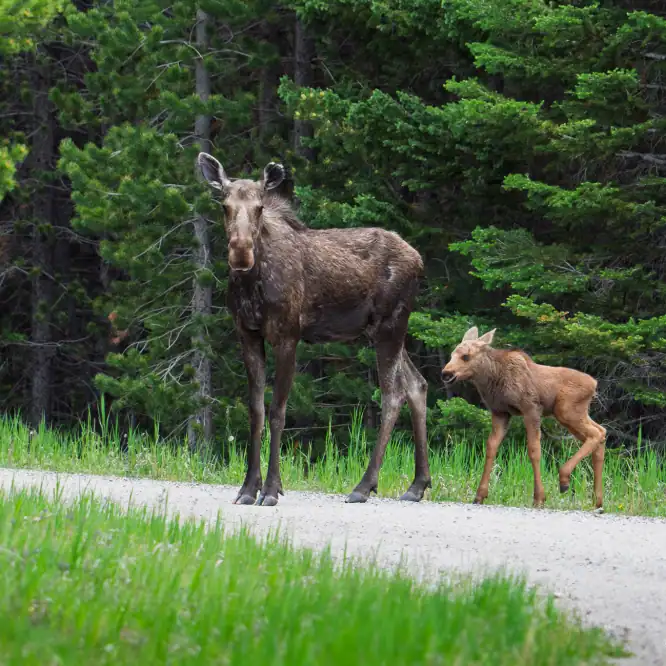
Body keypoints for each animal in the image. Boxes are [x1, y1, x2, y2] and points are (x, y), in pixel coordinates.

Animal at [197, 151, 432, 507]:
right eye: (224, 205)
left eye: (260, 207)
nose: (240, 252)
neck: (252, 284)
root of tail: (420, 261)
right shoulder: (247, 334)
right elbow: (256, 411)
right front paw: (248, 488)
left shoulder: (287, 336)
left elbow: (278, 412)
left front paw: (270, 489)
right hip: (381, 331)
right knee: (417, 384)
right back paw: (417, 485)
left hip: (391, 325)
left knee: (394, 394)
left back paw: (364, 485)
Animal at [441, 326, 606, 509]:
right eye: (452, 354)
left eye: (466, 356)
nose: (446, 373)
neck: (490, 379)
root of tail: (594, 385)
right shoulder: (500, 412)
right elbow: (491, 447)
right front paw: (480, 495)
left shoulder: (531, 408)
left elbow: (534, 450)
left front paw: (539, 497)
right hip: (574, 413)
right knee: (601, 432)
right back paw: (597, 500)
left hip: (566, 411)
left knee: (597, 433)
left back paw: (564, 480)